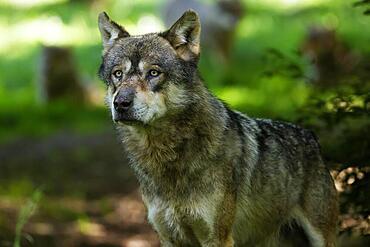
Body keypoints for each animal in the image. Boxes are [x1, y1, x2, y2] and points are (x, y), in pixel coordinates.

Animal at [97, 9, 338, 247]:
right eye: (118, 74)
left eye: (154, 73)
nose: (121, 104)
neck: (167, 157)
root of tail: (310, 135)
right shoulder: (168, 237)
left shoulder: (217, 237)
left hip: (320, 236)